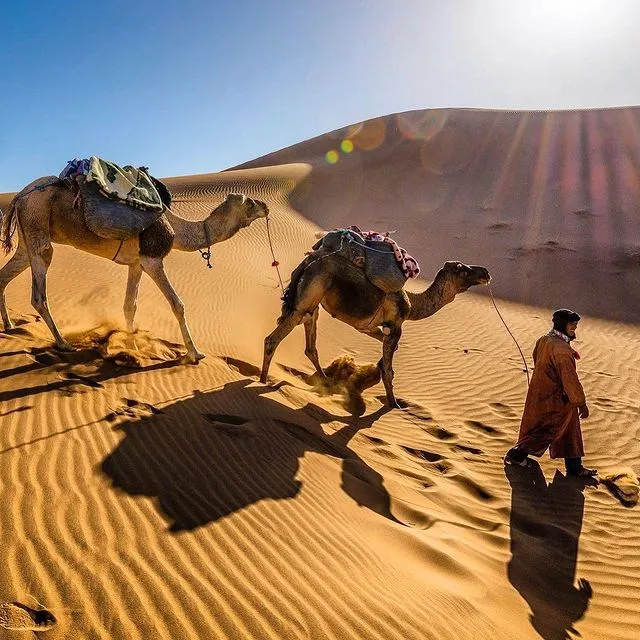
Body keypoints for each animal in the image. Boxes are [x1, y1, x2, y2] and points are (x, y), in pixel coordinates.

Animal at [0, 178, 268, 362]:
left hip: (27, 238)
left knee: (7, 274)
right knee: (39, 292)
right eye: (249, 202)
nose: (265, 206)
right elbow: (177, 304)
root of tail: (20, 196)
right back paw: (63, 343)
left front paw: (131, 346)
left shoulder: (136, 264)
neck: (176, 228)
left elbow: (130, 305)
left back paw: (10, 326)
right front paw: (195, 353)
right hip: (37, 222)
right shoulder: (152, 259)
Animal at [260, 248, 490, 408]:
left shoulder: (370, 328)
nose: (486, 272)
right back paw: (262, 381)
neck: (412, 305)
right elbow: (389, 370)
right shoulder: (396, 326)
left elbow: (388, 351)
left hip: (312, 304)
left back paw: (326, 382)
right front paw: (394, 404)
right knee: (273, 339)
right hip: (307, 298)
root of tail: (307, 263)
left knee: (310, 345)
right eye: (462, 269)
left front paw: (374, 372)